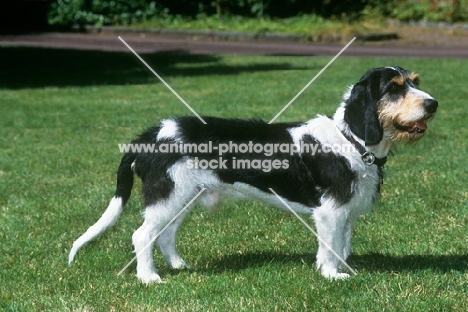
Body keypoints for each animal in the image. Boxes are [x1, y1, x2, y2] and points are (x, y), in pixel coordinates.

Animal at [67, 67, 436, 282]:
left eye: (415, 83)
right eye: (394, 88)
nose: (433, 104)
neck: (351, 140)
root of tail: (148, 136)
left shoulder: (346, 214)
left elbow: (342, 245)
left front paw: (342, 269)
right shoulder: (330, 213)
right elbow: (329, 247)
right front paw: (332, 276)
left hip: (183, 198)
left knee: (165, 235)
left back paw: (179, 266)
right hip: (168, 195)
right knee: (142, 235)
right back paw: (149, 278)